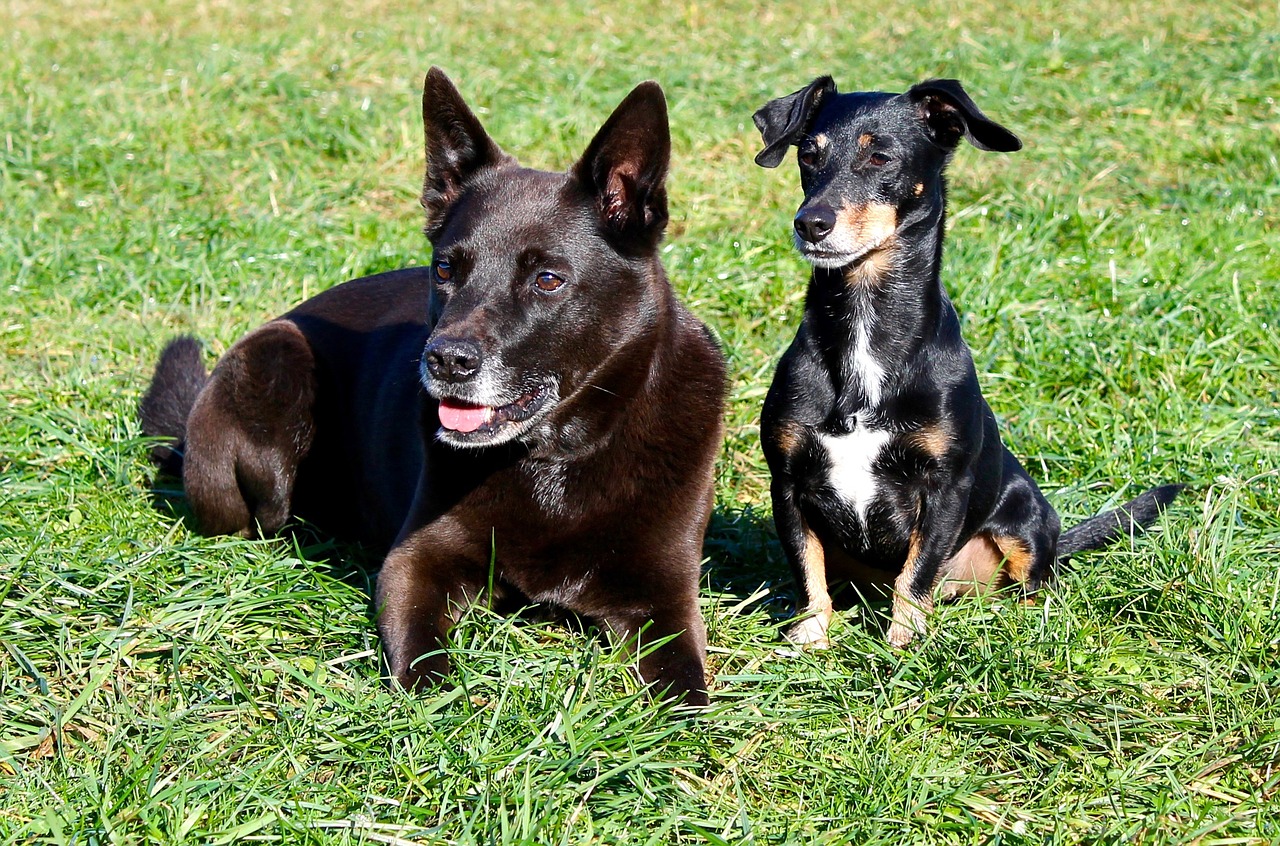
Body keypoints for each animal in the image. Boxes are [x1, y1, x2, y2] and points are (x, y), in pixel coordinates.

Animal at [141, 65, 727, 701]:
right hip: (277, 364)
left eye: (547, 279)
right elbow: (424, 670)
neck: (557, 457)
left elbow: (686, 691)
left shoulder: (665, 597)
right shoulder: (414, 563)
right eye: (445, 268)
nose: (445, 361)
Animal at [747, 77, 1177, 647]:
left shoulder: (945, 488)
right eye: (808, 156)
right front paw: (811, 639)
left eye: (880, 157)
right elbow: (807, 570)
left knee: (1037, 581)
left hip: (1026, 519)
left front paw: (904, 646)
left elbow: (915, 573)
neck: (867, 328)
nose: (810, 224)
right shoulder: (790, 483)